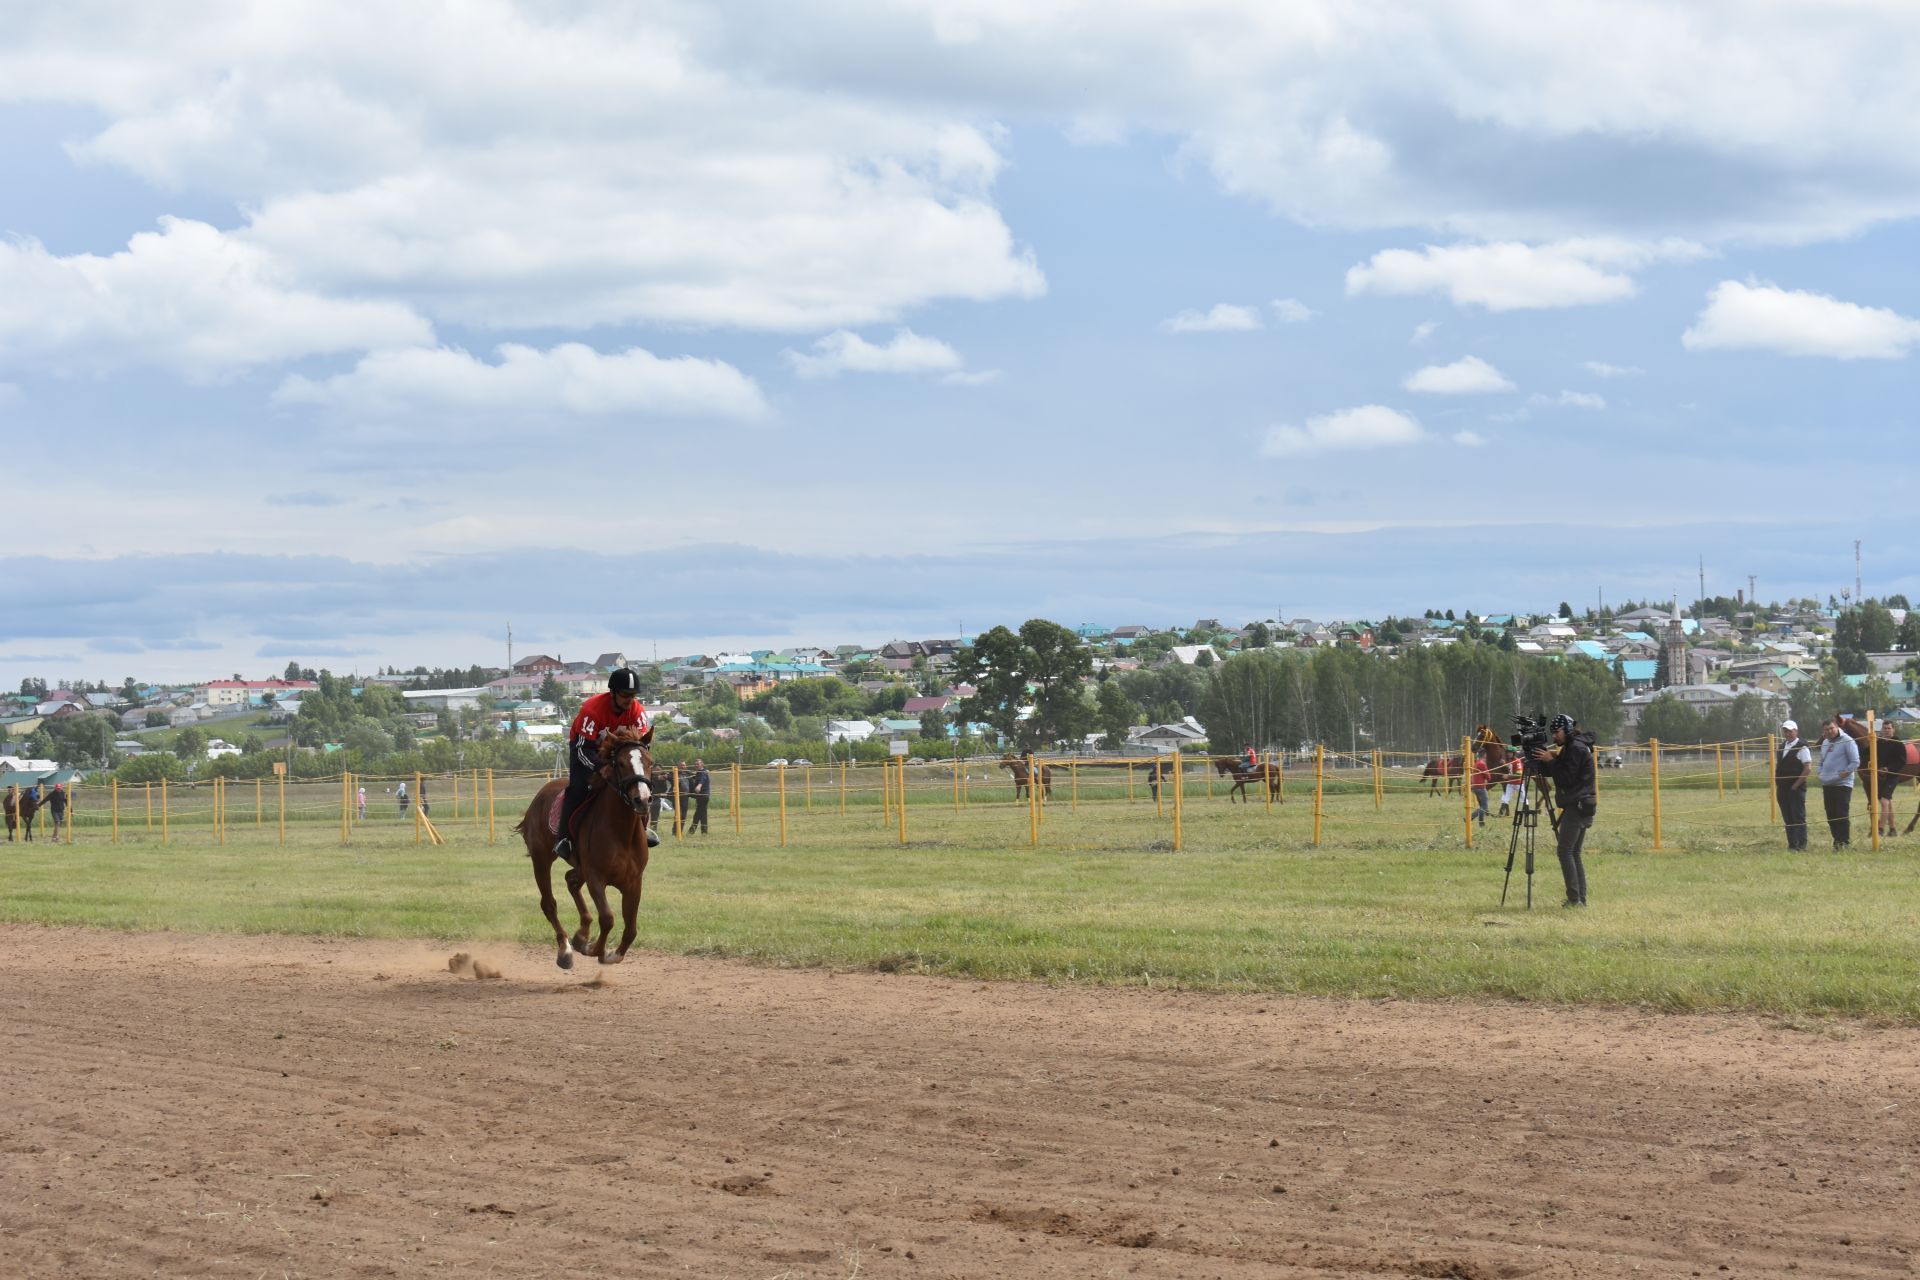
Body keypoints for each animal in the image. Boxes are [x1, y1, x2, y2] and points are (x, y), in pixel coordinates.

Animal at [518, 725, 660, 967]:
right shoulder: (596, 877)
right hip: (541, 859)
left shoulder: (634, 881)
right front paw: (593, 949)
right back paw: (565, 949)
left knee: (571, 880)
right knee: (549, 903)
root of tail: (540, 795)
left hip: (579, 865)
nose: (642, 799)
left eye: (649, 762)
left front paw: (608, 952)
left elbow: (631, 929)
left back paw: (581, 933)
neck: (620, 831)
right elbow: (608, 918)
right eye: (620, 763)